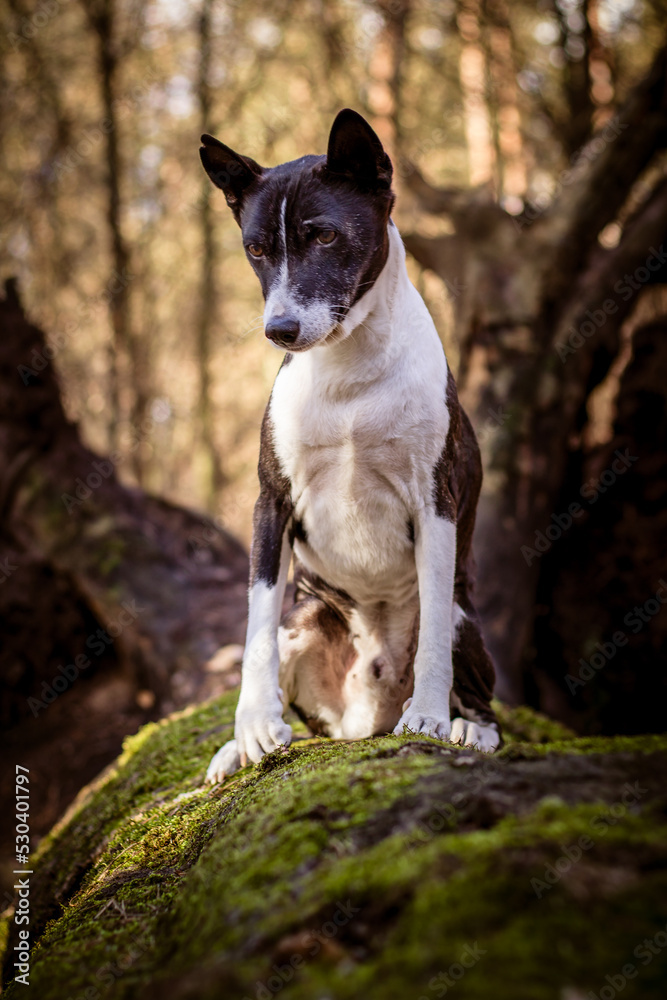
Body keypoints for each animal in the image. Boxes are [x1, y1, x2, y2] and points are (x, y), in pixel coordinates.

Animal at [202, 109, 500, 780]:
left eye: (324, 237)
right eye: (256, 249)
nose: (279, 329)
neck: (348, 374)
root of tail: (369, 718)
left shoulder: (435, 502)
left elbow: (434, 632)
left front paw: (431, 719)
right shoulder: (271, 503)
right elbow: (255, 625)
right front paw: (251, 728)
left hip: (467, 619)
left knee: (483, 696)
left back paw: (467, 727)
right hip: (305, 621)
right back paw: (235, 748)